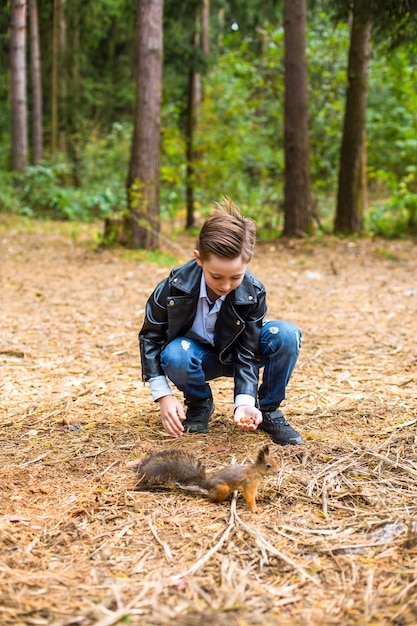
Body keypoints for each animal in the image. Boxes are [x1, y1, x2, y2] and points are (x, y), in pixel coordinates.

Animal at [134, 442, 276, 510]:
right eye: (268, 465)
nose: (277, 472)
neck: (256, 472)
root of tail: (207, 483)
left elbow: (254, 494)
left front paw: (259, 496)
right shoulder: (249, 483)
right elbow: (249, 496)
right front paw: (255, 509)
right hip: (222, 488)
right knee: (211, 499)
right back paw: (222, 502)